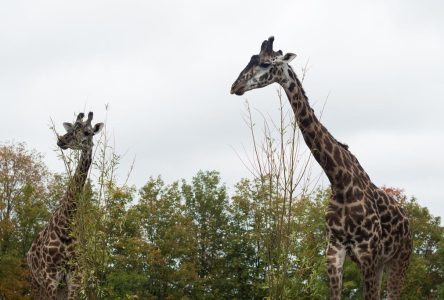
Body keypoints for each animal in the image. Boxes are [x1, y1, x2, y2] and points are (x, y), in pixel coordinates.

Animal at [27, 112, 104, 300]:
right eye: (72, 129)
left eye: (88, 132)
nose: (61, 140)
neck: (65, 225)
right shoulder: (50, 275)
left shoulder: (75, 276)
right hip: (35, 282)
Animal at [232, 37, 412, 300]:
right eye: (250, 59)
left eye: (265, 63)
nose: (235, 86)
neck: (339, 180)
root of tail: (409, 223)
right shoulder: (334, 251)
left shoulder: (367, 252)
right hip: (381, 263)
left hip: (399, 260)